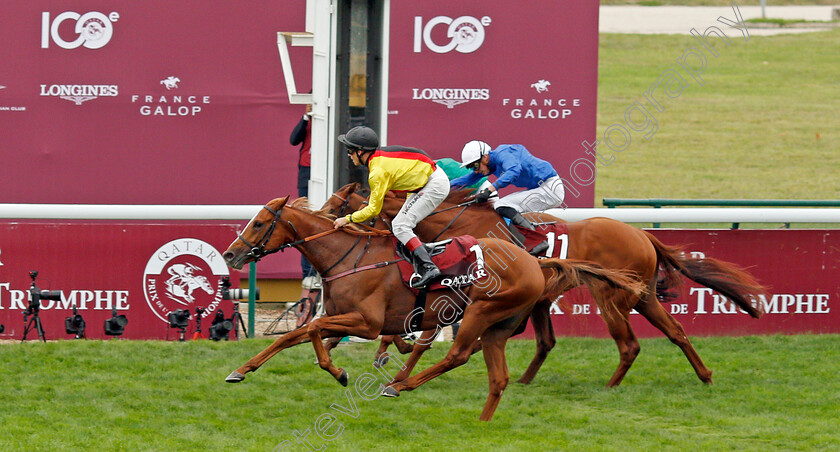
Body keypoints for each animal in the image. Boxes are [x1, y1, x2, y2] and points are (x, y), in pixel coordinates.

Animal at [220, 197, 640, 420]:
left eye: (258, 223)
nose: (230, 254)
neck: (349, 257)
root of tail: (535, 261)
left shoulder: (366, 322)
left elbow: (310, 331)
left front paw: (338, 372)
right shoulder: (341, 317)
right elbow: (294, 334)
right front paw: (241, 370)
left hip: (480, 312)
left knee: (458, 354)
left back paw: (398, 386)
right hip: (499, 326)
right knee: (495, 374)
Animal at [322, 182, 768, 386]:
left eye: (337, 205)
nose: (331, 226)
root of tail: (643, 234)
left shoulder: (463, 293)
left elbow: (426, 335)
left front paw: (396, 364)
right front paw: (380, 352)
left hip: (611, 297)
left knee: (629, 344)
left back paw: (610, 385)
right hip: (640, 296)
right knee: (675, 331)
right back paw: (704, 375)